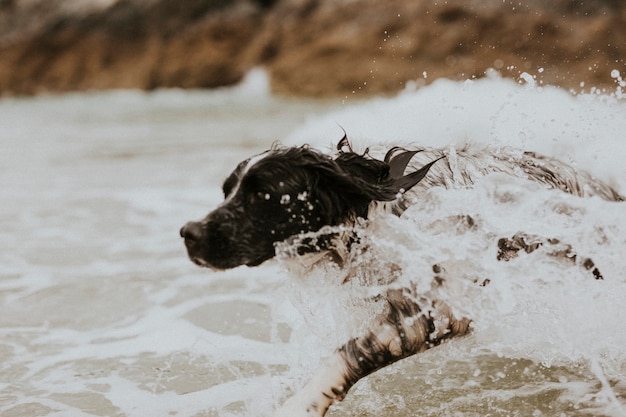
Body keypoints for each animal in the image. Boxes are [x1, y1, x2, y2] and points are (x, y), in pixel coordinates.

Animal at [179, 136, 620, 416]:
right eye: (227, 191)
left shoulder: (435, 310)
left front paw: (300, 404)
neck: (377, 224)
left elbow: (345, 356)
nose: (188, 233)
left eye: (263, 195)